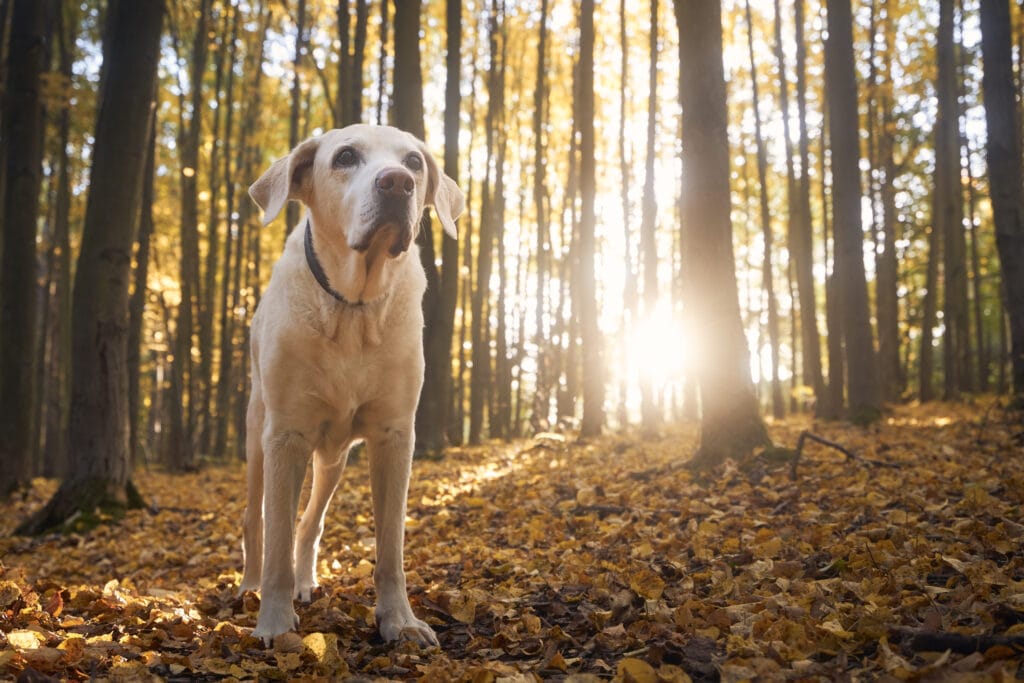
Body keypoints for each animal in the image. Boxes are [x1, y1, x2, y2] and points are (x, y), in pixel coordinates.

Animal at [239, 124, 464, 647]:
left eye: (414, 161)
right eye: (344, 157)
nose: (397, 182)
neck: (353, 308)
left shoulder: (395, 435)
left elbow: (390, 547)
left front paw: (400, 620)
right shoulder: (285, 436)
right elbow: (275, 538)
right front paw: (274, 622)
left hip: (334, 458)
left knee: (311, 522)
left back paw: (305, 581)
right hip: (258, 432)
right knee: (256, 522)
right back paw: (250, 587)